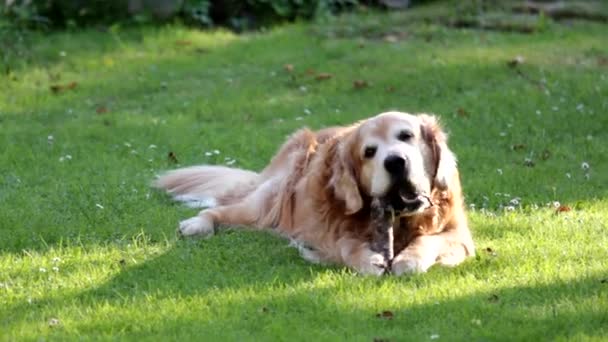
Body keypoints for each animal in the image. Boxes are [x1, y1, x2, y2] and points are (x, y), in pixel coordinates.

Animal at [153, 111, 476, 276]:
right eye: (369, 152)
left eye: (406, 136)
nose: (395, 162)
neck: (399, 218)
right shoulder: (327, 233)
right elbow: (346, 245)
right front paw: (367, 260)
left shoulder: (459, 234)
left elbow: (429, 239)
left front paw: (410, 259)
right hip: (264, 207)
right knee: (219, 210)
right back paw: (197, 224)